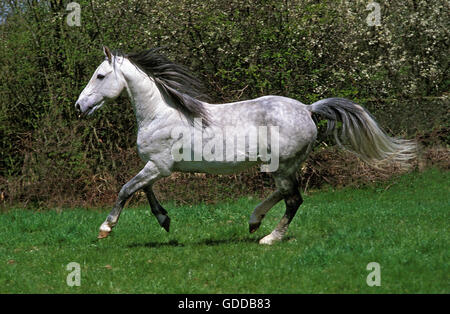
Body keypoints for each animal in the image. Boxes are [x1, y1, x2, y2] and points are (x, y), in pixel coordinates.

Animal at [75, 46, 416, 244]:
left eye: (100, 75)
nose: (80, 106)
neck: (161, 113)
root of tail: (308, 108)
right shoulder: (159, 167)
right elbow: (143, 190)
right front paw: (165, 220)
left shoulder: (159, 165)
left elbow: (126, 189)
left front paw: (106, 228)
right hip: (281, 166)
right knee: (283, 193)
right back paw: (254, 221)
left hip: (284, 165)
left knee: (294, 199)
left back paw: (270, 238)